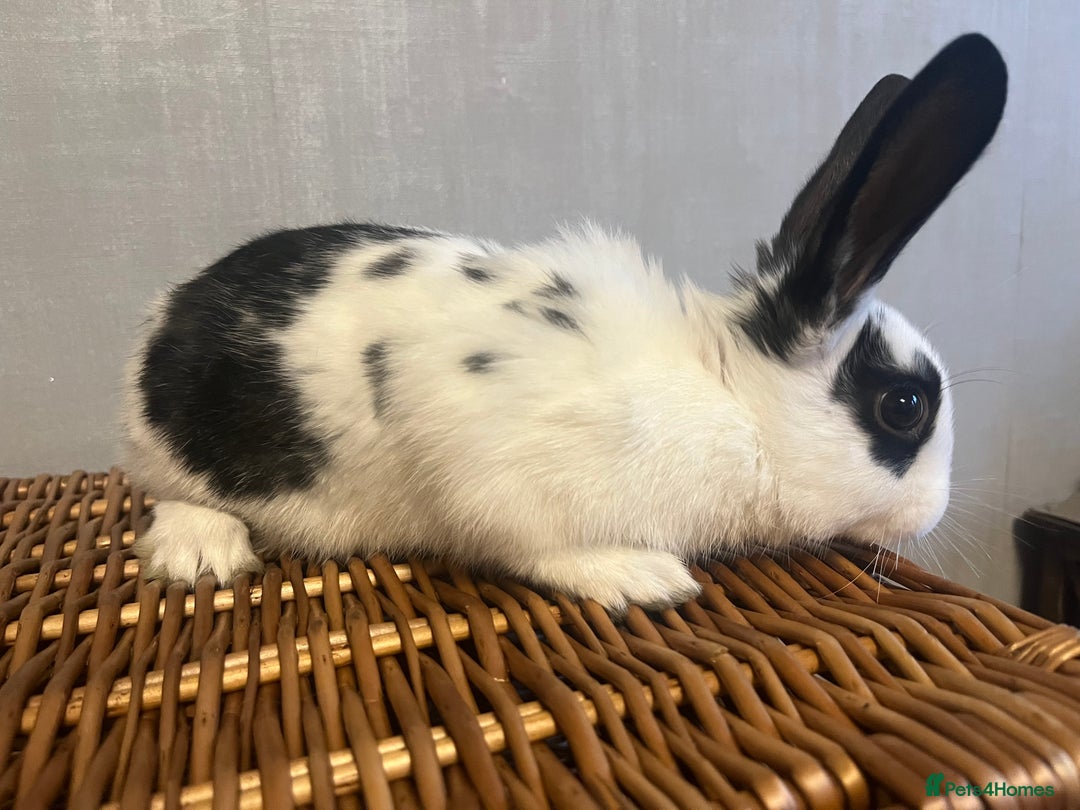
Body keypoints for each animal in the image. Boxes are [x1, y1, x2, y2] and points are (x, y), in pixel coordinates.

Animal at [124, 34, 1007, 613]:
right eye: (904, 407)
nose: (933, 514)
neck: (735, 401)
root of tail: (163, 320)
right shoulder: (492, 464)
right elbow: (536, 545)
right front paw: (641, 578)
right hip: (183, 460)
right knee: (168, 496)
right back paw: (200, 555)